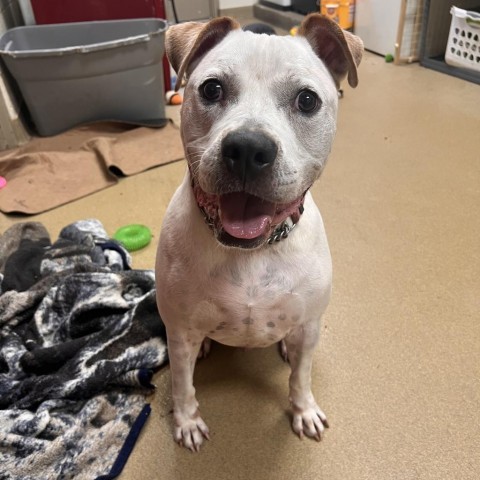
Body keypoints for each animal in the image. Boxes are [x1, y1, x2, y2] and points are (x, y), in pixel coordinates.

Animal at [156, 13, 362, 452]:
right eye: (211, 89)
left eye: (307, 100)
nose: (248, 149)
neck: (251, 252)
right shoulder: (179, 334)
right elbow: (183, 385)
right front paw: (187, 421)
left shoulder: (309, 326)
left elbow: (300, 376)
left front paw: (303, 410)